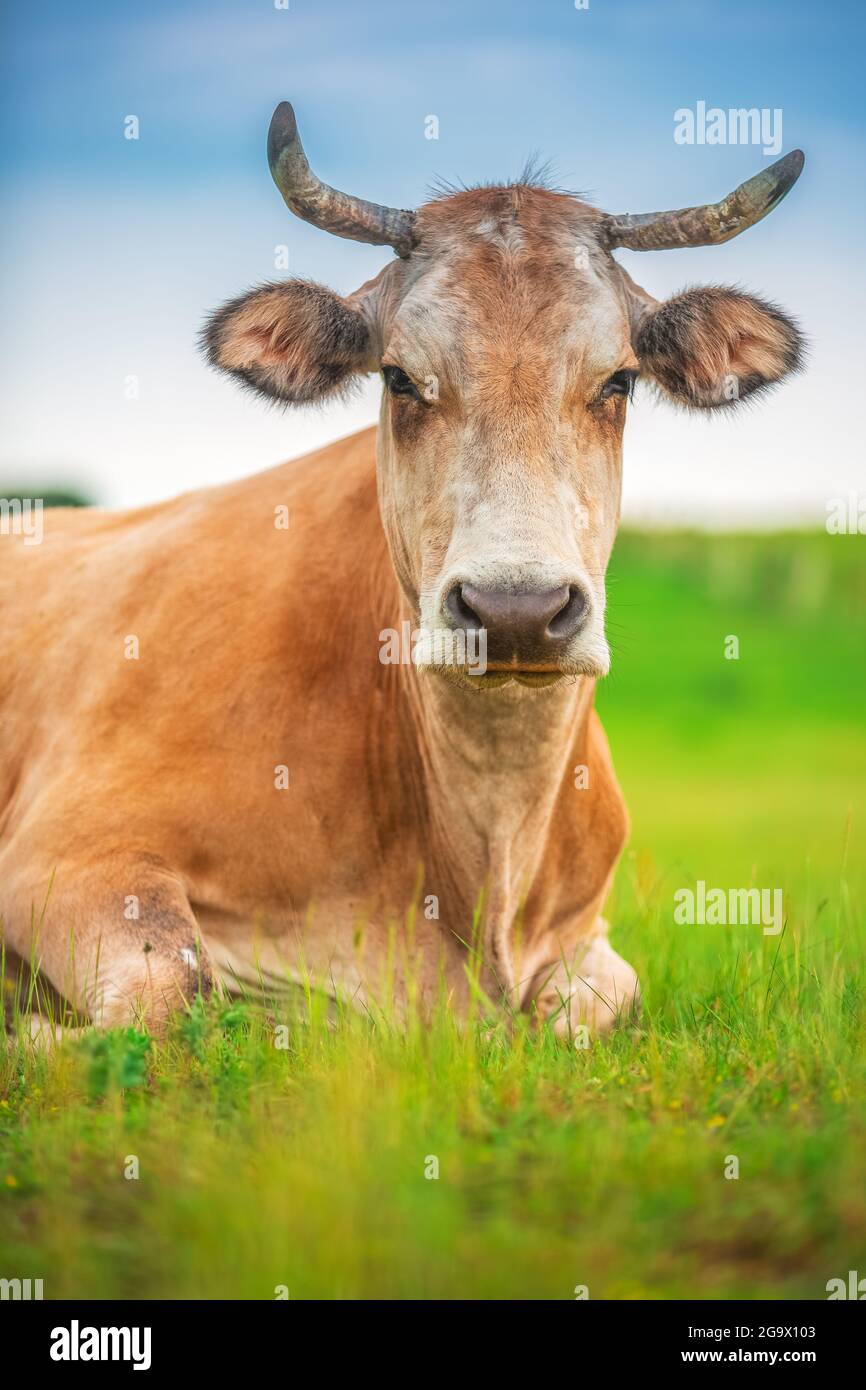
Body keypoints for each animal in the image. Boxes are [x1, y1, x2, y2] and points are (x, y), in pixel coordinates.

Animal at [0, 103, 804, 1040]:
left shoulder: (587, 939)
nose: (516, 609)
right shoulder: (64, 855)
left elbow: (598, 1005)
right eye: (398, 377)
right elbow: (176, 995)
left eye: (620, 382)